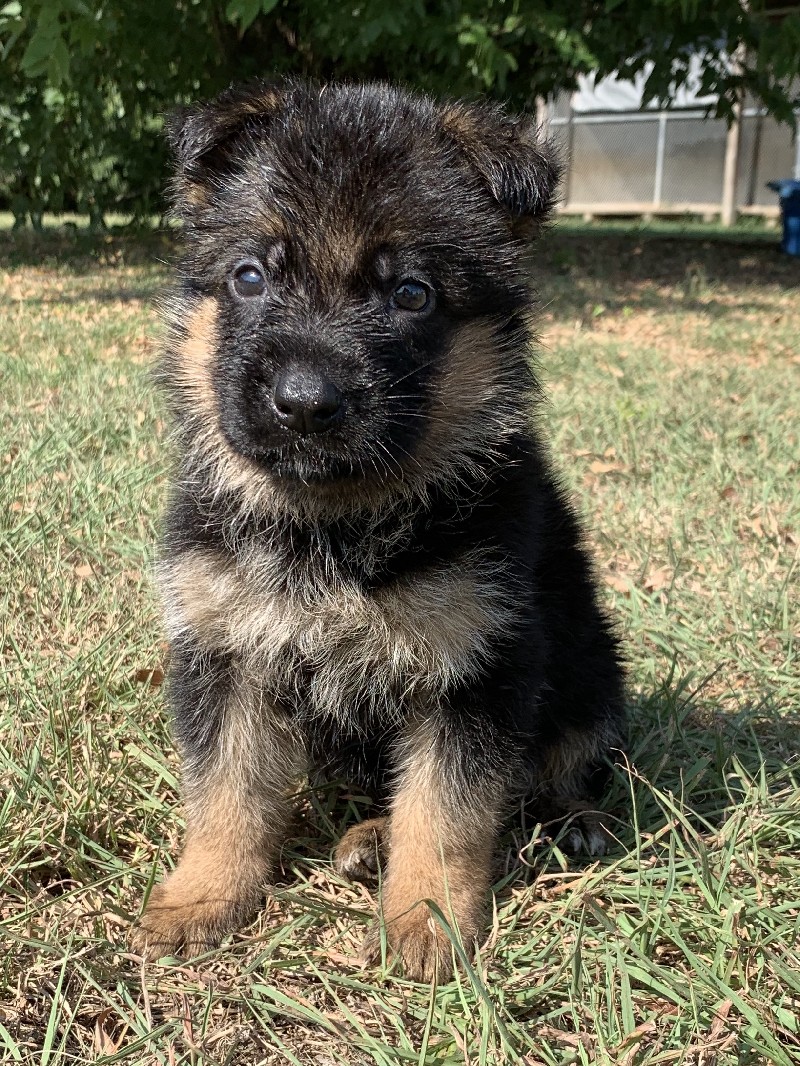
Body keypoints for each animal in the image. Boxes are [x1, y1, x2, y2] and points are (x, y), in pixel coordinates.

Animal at [133, 78, 627, 980]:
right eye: (249, 277)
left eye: (410, 295)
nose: (302, 403)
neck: (333, 522)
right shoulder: (225, 651)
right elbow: (224, 792)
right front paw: (203, 895)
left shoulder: (476, 666)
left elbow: (448, 811)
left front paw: (428, 921)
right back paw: (367, 835)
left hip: (592, 670)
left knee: (560, 770)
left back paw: (568, 820)